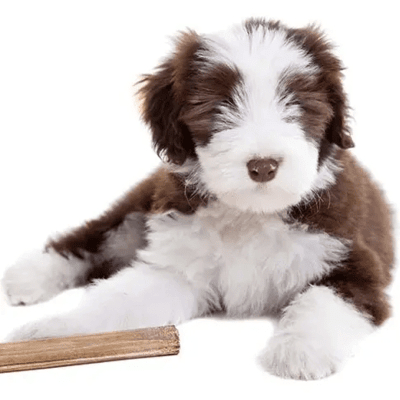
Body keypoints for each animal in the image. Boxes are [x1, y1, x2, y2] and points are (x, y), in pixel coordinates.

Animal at [0, 19, 394, 382]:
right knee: (92, 238)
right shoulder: (177, 266)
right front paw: (55, 334)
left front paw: (300, 350)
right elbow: (116, 299)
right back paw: (29, 276)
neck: (250, 212)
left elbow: (323, 300)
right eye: (218, 106)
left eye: (297, 104)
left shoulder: (353, 261)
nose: (263, 167)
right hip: (136, 211)